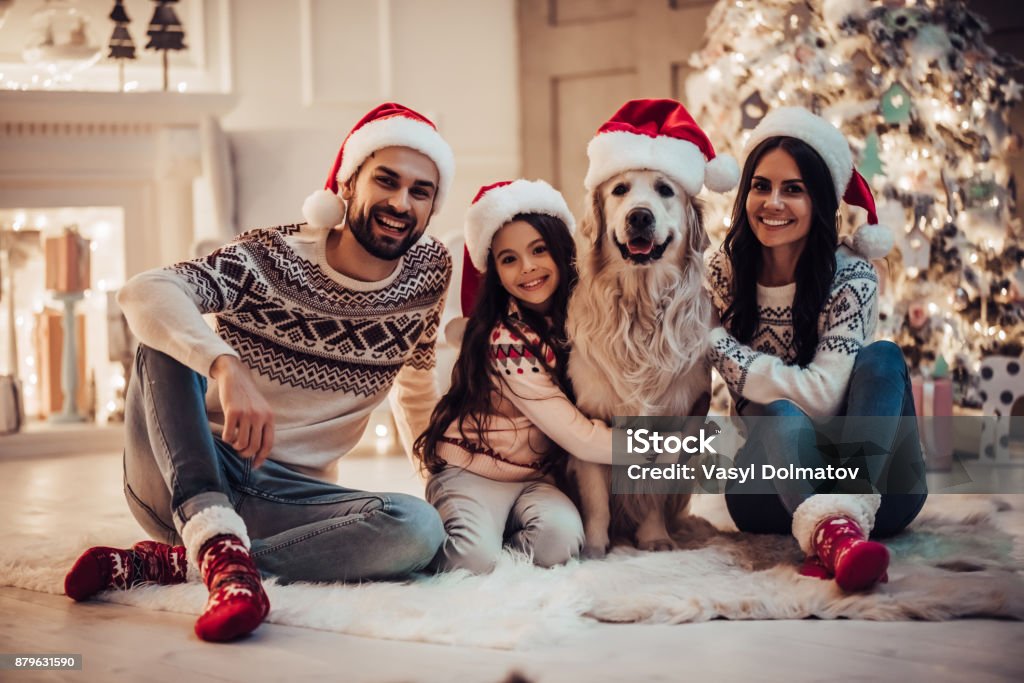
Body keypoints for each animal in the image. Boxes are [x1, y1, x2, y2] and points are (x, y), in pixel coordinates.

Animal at [569, 167, 712, 557]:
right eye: (619, 190)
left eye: (665, 190)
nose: (640, 217)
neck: (640, 307)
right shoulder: (592, 419)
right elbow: (596, 499)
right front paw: (595, 546)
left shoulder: (673, 421)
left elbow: (652, 493)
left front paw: (654, 538)